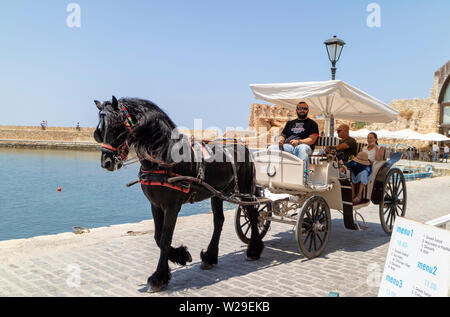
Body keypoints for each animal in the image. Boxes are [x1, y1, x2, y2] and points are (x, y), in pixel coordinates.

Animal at [94, 96, 264, 292]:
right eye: (100, 130)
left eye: (117, 127)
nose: (106, 162)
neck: (164, 158)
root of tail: (242, 145)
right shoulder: (155, 205)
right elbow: (158, 237)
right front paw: (181, 256)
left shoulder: (172, 206)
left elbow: (165, 238)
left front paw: (158, 277)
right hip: (217, 193)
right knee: (219, 221)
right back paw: (210, 257)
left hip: (244, 190)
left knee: (252, 214)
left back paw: (254, 250)